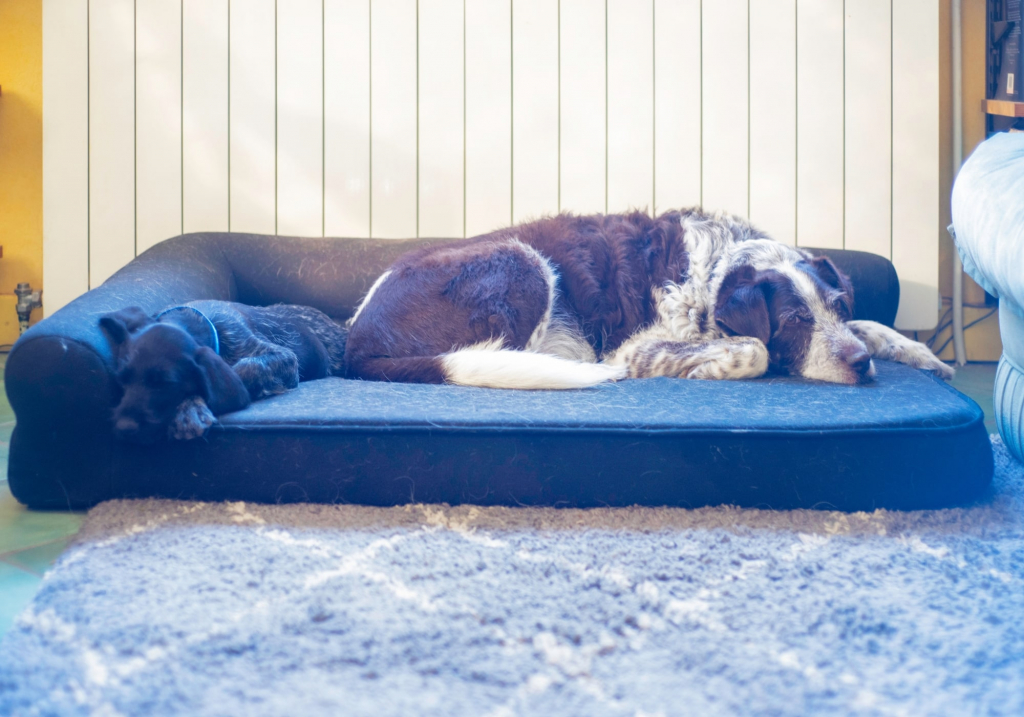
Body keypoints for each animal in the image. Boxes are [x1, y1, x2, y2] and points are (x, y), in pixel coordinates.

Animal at [101, 299, 348, 442]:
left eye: (165, 384)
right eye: (122, 380)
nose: (123, 427)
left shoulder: (285, 358)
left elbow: (244, 368)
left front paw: (191, 407)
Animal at [344, 209, 950, 389]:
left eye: (837, 307)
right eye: (797, 319)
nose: (861, 366)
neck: (718, 274)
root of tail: (356, 340)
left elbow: (875, 327)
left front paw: (925, 356)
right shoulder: (634, 347)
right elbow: (753, 349)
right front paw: (709, 367)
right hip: (521, 263)